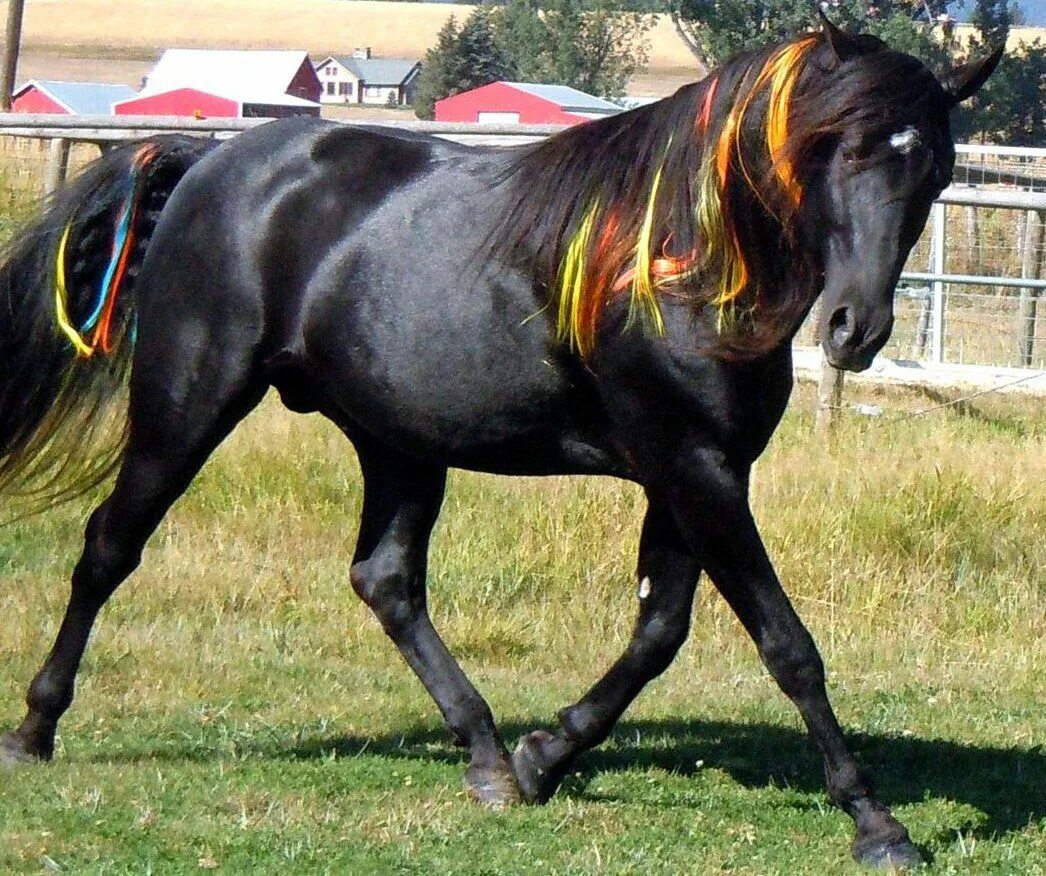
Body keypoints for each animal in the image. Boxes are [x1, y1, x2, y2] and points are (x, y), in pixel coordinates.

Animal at [0, 20, 995, 866]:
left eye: (938, 169)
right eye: (845, 147)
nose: (855, 330)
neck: (681, 260)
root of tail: (210, 163)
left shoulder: (692, 473)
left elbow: (658, 633)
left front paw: (542, 755)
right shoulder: (694, 470)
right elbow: (786, 644)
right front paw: (876, 821)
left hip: (397, 442)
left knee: (386, 581)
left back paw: (485, 755)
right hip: (188, 406)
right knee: (109, 547)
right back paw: (34, 730)